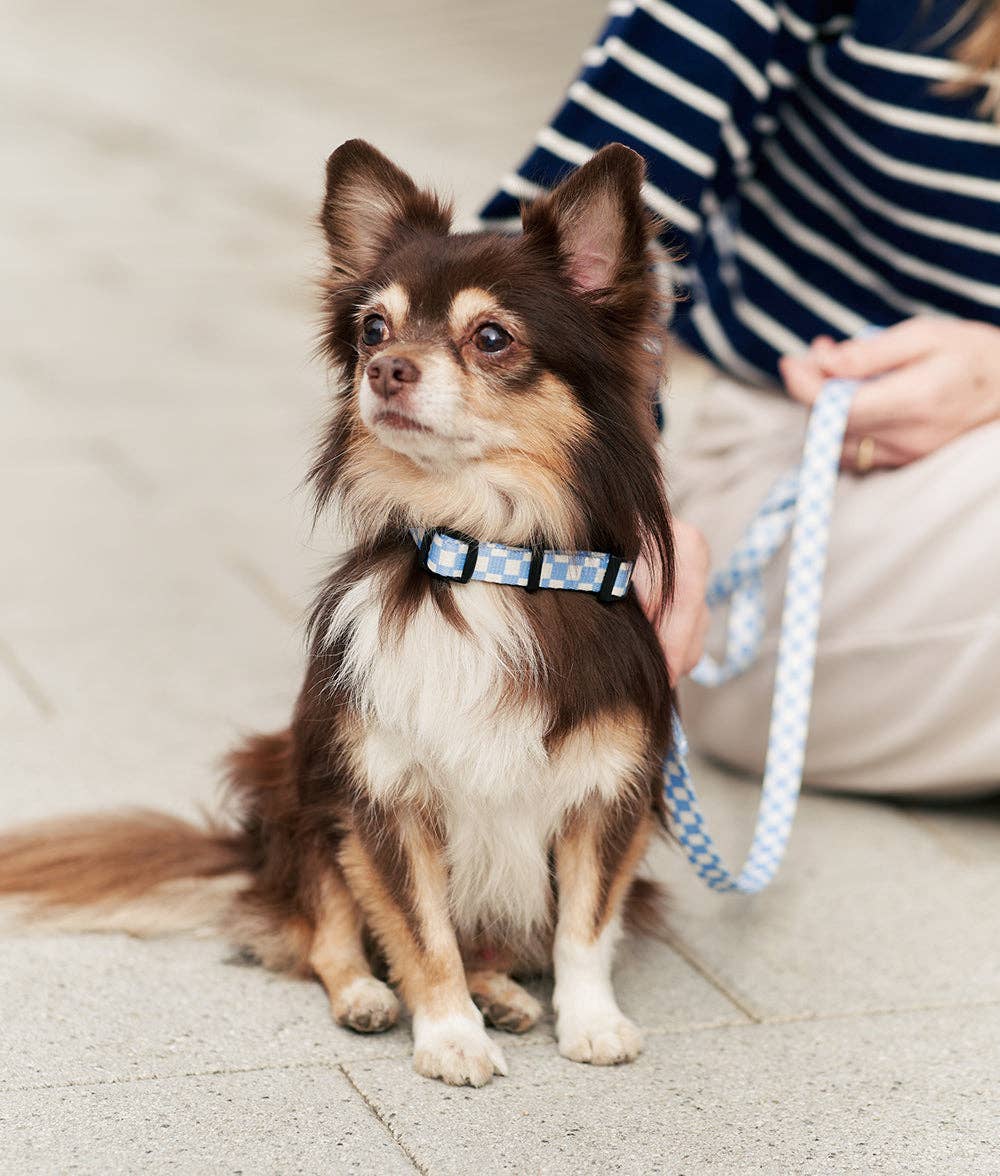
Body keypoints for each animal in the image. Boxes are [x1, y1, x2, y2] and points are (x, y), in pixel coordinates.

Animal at [0, 142, 677, 1086]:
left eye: (491, 337)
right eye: (372, 330)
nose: (383, 370)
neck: (482, 555)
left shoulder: (607, 795)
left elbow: (585, 925)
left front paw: (590, 1021)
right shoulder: (380, 795)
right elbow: (420, 931)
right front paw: (449, 1035)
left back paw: (504, 992)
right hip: (293, 789)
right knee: (320, 928)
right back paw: (371, 997)